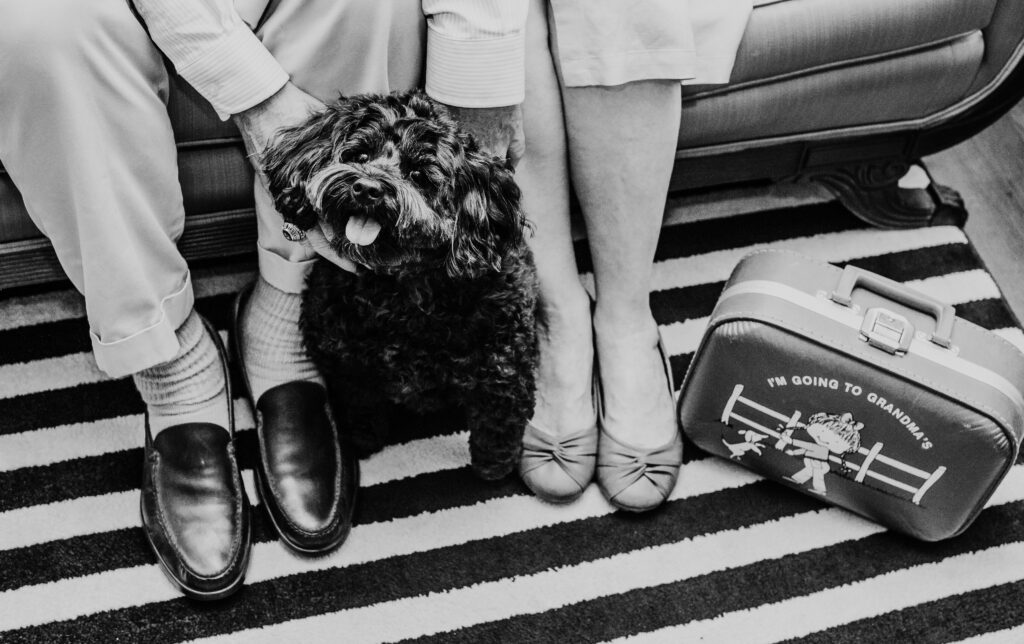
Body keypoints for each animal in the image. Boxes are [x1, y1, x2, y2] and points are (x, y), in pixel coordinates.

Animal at [260, 90, 540, 477]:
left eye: (419, 174)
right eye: (360, 155)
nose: (367, 188)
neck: (402, 289)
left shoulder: (504, 365)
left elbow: (498, 422)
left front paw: (493, 467)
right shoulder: (344, 359)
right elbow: (359, 402)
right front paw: (364, 439)